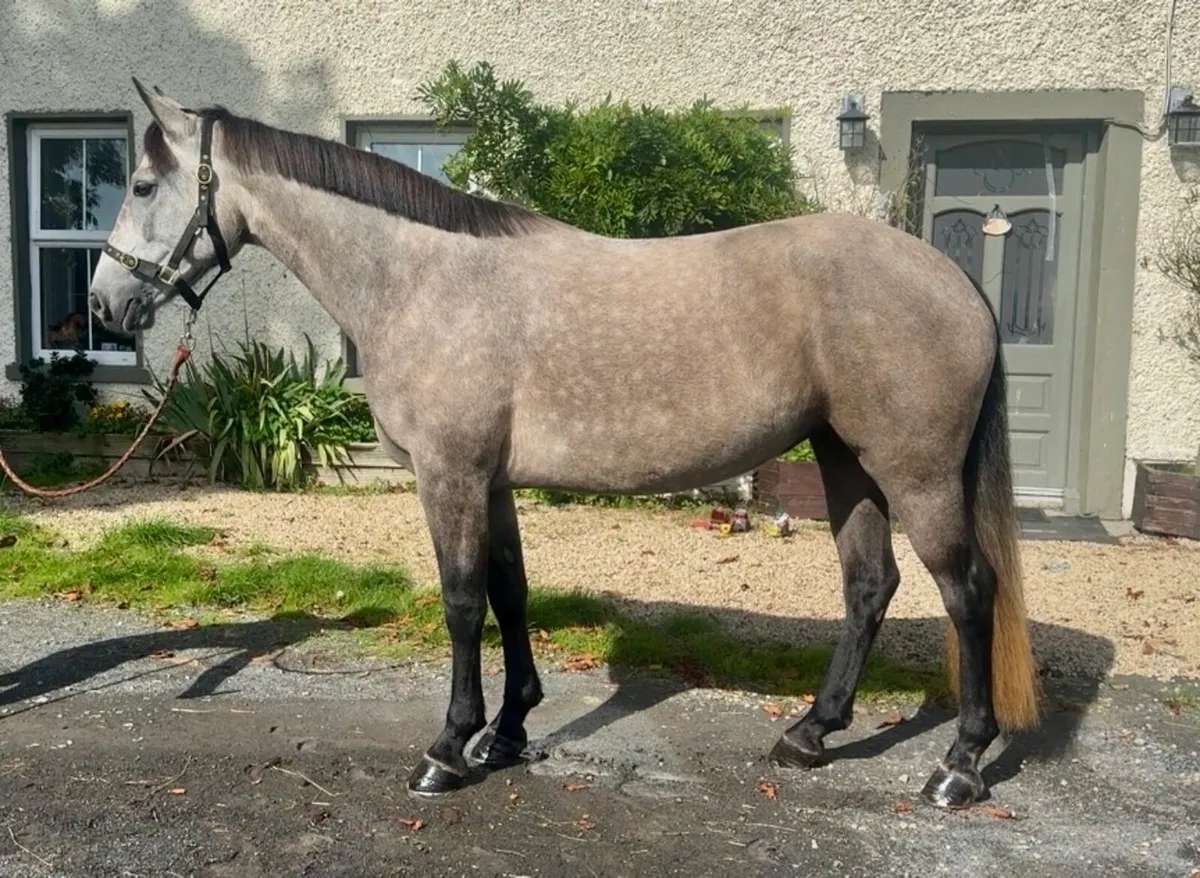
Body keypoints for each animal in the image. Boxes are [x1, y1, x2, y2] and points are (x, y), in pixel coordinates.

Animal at [86, 78, 1041, 811]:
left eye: (142, 186)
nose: (104, 306)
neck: (422, 279)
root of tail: (956, 282)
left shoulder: (451, 475)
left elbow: (462, 602)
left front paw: (447, 749)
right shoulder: (493, 480)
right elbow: (510, 594)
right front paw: (507, 733)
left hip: (914, 473)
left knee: (967, 592)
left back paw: (959, 767)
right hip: (847, 463)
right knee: (869, 587)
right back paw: (810, 734)